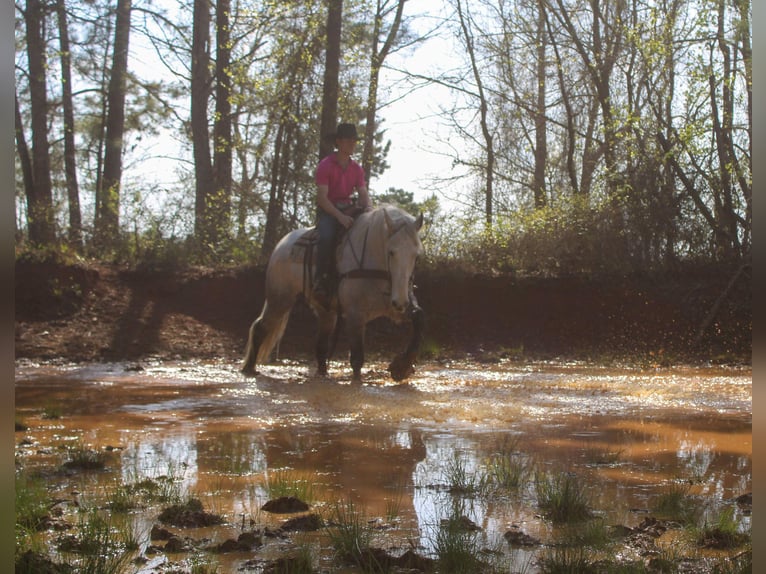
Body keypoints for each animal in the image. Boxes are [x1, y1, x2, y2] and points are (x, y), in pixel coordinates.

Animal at [241, 204, 425, 382]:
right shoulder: (355, 315)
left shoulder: (394, 307)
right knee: (261, 327)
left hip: (325, 311)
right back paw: (249, 368)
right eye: (391, 252)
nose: (400, 301)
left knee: (321, 344)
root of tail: (282, 245)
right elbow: (357, 357)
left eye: (416, 256)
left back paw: (322, 373)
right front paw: (358, 381)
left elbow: (419, 320)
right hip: (279, 299)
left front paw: (402, 367)